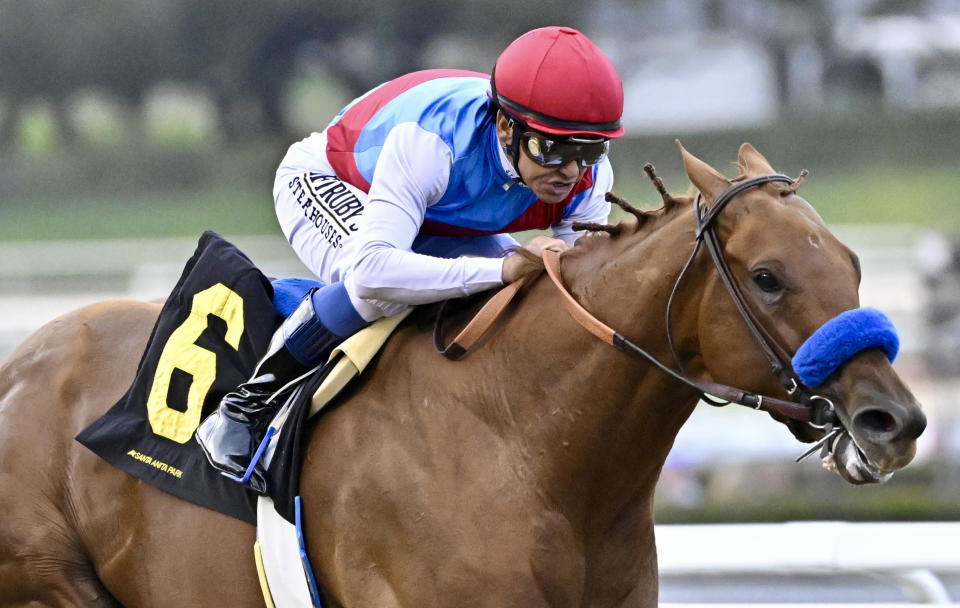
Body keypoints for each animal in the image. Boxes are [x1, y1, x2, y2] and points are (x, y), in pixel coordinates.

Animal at [0, 141, 928, 604]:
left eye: (852, 264)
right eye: (768, 277)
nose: (897, 422)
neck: (522, 442)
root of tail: (22, 359)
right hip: (49, 585)